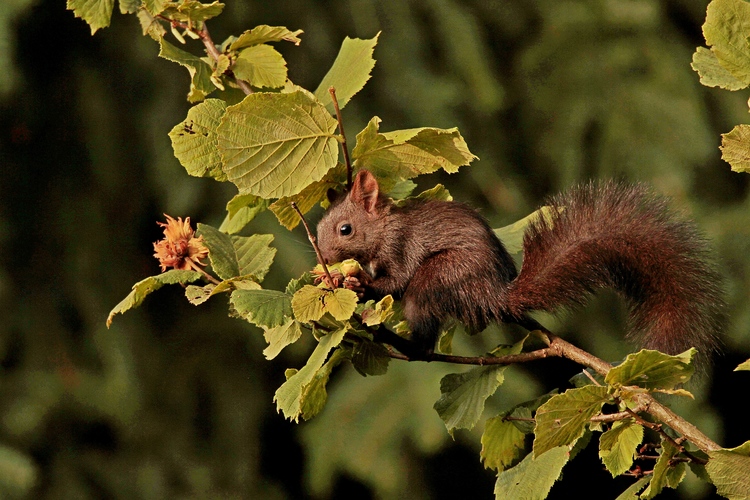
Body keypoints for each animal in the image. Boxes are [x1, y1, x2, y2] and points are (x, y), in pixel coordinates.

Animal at [318, 170, 728, 362]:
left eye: (345, 229)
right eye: (319, 226)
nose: (323, 258)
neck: (383, 227)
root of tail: (495, 294)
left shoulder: (401, 246)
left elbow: (396, 281)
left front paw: (359, 285)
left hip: (442, 275)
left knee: (422, 330)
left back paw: (399, 342)